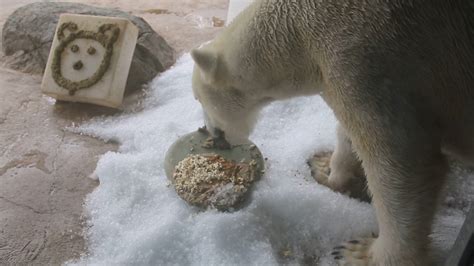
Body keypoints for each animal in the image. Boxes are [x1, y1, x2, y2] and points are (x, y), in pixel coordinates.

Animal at [190, 1, 474, 264]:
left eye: (197, 99)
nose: (213, 135)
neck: (299, 35)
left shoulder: (366, 58)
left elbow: (404, 162)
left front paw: (361, 253)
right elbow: (350, 132)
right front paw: (325, 167)